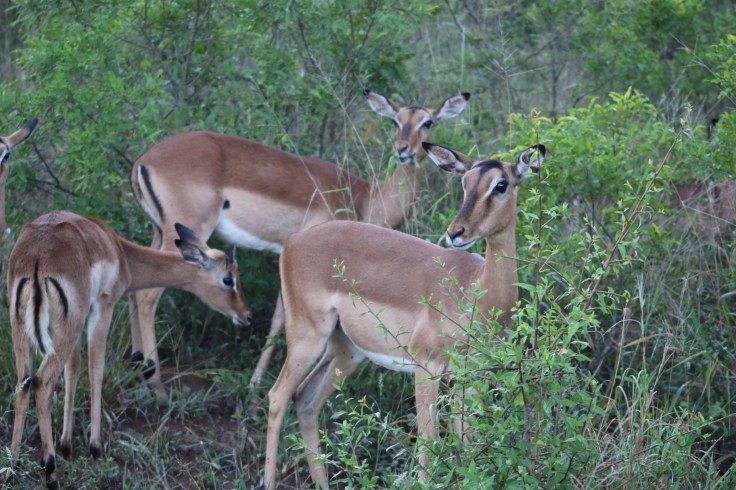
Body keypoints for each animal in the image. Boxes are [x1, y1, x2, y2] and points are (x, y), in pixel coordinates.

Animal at [9, 210, 250, 486]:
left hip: (25, 328)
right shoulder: (103, 306)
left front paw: (67, 445)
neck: (118, 250)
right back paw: (49, 469)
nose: (246, 316)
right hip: (65, 328)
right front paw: (95, 447)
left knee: (24, 382)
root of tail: (38, 256)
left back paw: (13, 465)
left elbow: (74, 370)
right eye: (228, 279)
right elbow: (96, 369)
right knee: (43, 382)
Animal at [128, 90, 470, 397]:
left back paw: (138, 369)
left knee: (134, 286)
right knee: (147, 295)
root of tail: (143, 162)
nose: (403, 149)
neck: (364, 196)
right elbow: (280, 318)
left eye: (427, 121)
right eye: (395, 120)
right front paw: (254, 385)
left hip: (161, 232)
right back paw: (156, 386)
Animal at [263, 142, 545, 488]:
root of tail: (292, 244)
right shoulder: (427, 367)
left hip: (346, 351)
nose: (456, 232)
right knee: (277, 397)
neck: (476, 291)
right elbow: (428, 446)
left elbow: (467, 442)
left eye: (501, 185)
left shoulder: (472, 375)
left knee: (305, 400)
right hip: (307, 338)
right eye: (464, 182)